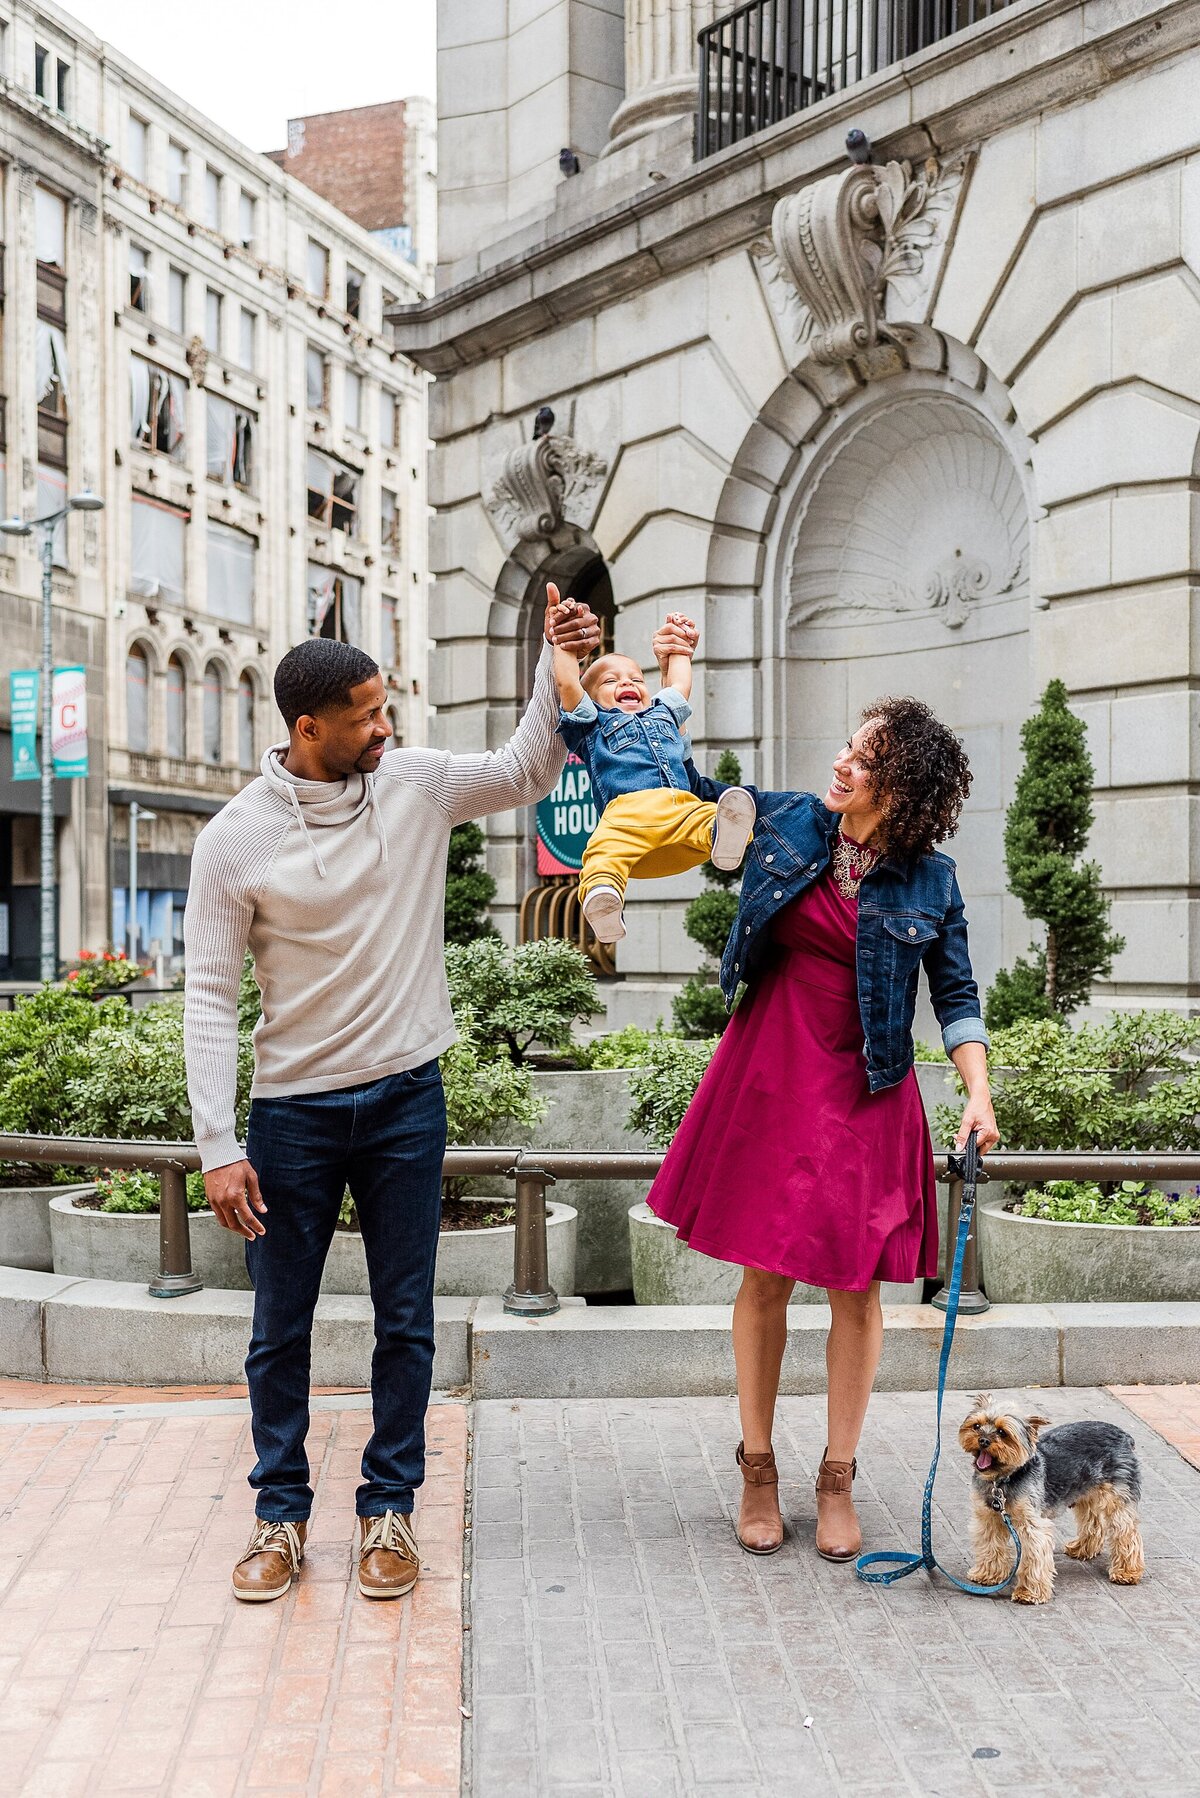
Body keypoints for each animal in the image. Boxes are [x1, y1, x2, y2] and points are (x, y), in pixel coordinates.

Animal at [957, 1395, 1144, 1611]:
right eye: (977, 1426)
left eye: (1003, 1432)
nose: (983, 1440)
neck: (1001, 1480)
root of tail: (1125, 1436)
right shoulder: (988, 1518)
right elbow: (990, 1545)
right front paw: (988, 1574)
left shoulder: (1032, 1526)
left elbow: (1034, 1557)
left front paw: (1028, 1593)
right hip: (1085, 1491)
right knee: (1092, 1519)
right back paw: (1083, 1549)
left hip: (1118, 1495)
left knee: (1126, 1531)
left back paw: (1126, 1572)